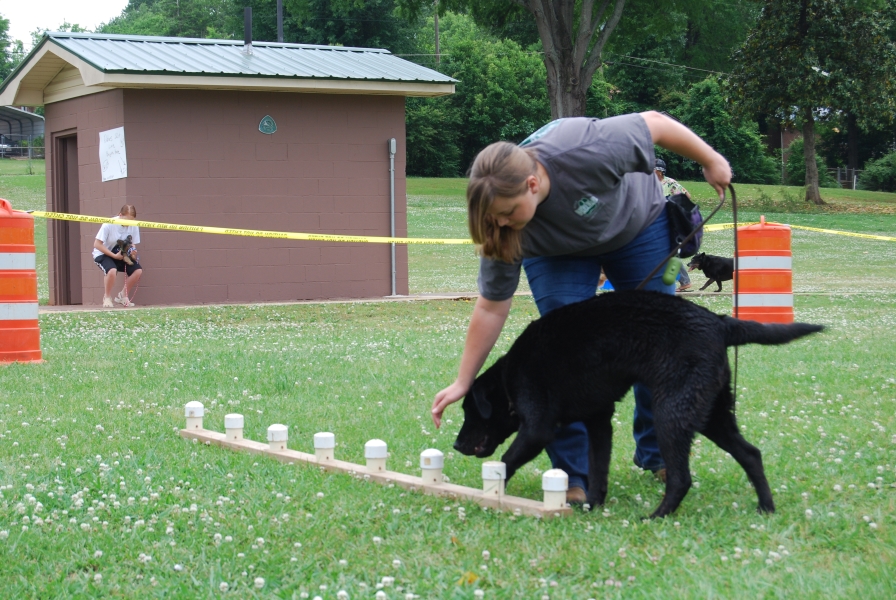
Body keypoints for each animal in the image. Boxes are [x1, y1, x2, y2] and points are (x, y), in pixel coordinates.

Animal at [452, 290, 824, 516]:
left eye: (470, 411)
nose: (456, 445)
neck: (509, 377)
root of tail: (719, 322)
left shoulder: (538, 429)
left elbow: (505, 463)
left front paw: (490, 495)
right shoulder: (599, 421)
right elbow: (597, 470)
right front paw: (592, 506)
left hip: (671, 413)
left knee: (681, 478)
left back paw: (657, 516)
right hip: (711, 413)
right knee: (750, 454)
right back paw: (766, 507)